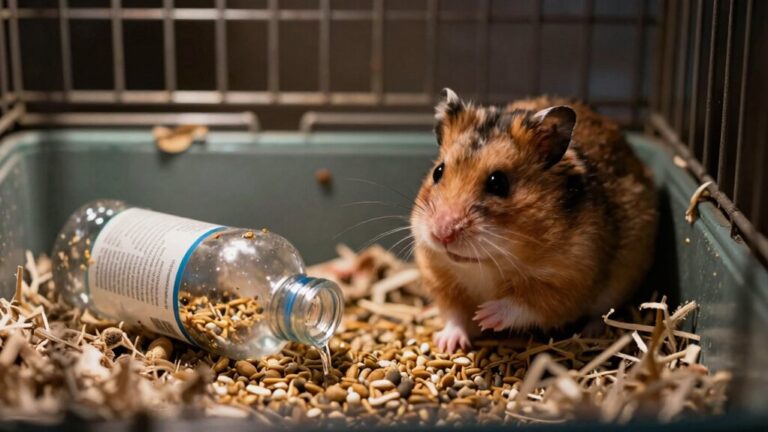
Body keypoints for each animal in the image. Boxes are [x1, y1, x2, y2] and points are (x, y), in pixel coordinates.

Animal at [411, 88, 658, 353]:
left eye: (498, 182)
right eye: (438, 172)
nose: (442, 234)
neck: (487, 263)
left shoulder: (567, 284)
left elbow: (525, 305)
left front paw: (485, 315)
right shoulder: (439, 275)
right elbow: (454, 314)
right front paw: (448, 343)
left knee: (600, 314)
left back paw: (591, 332)